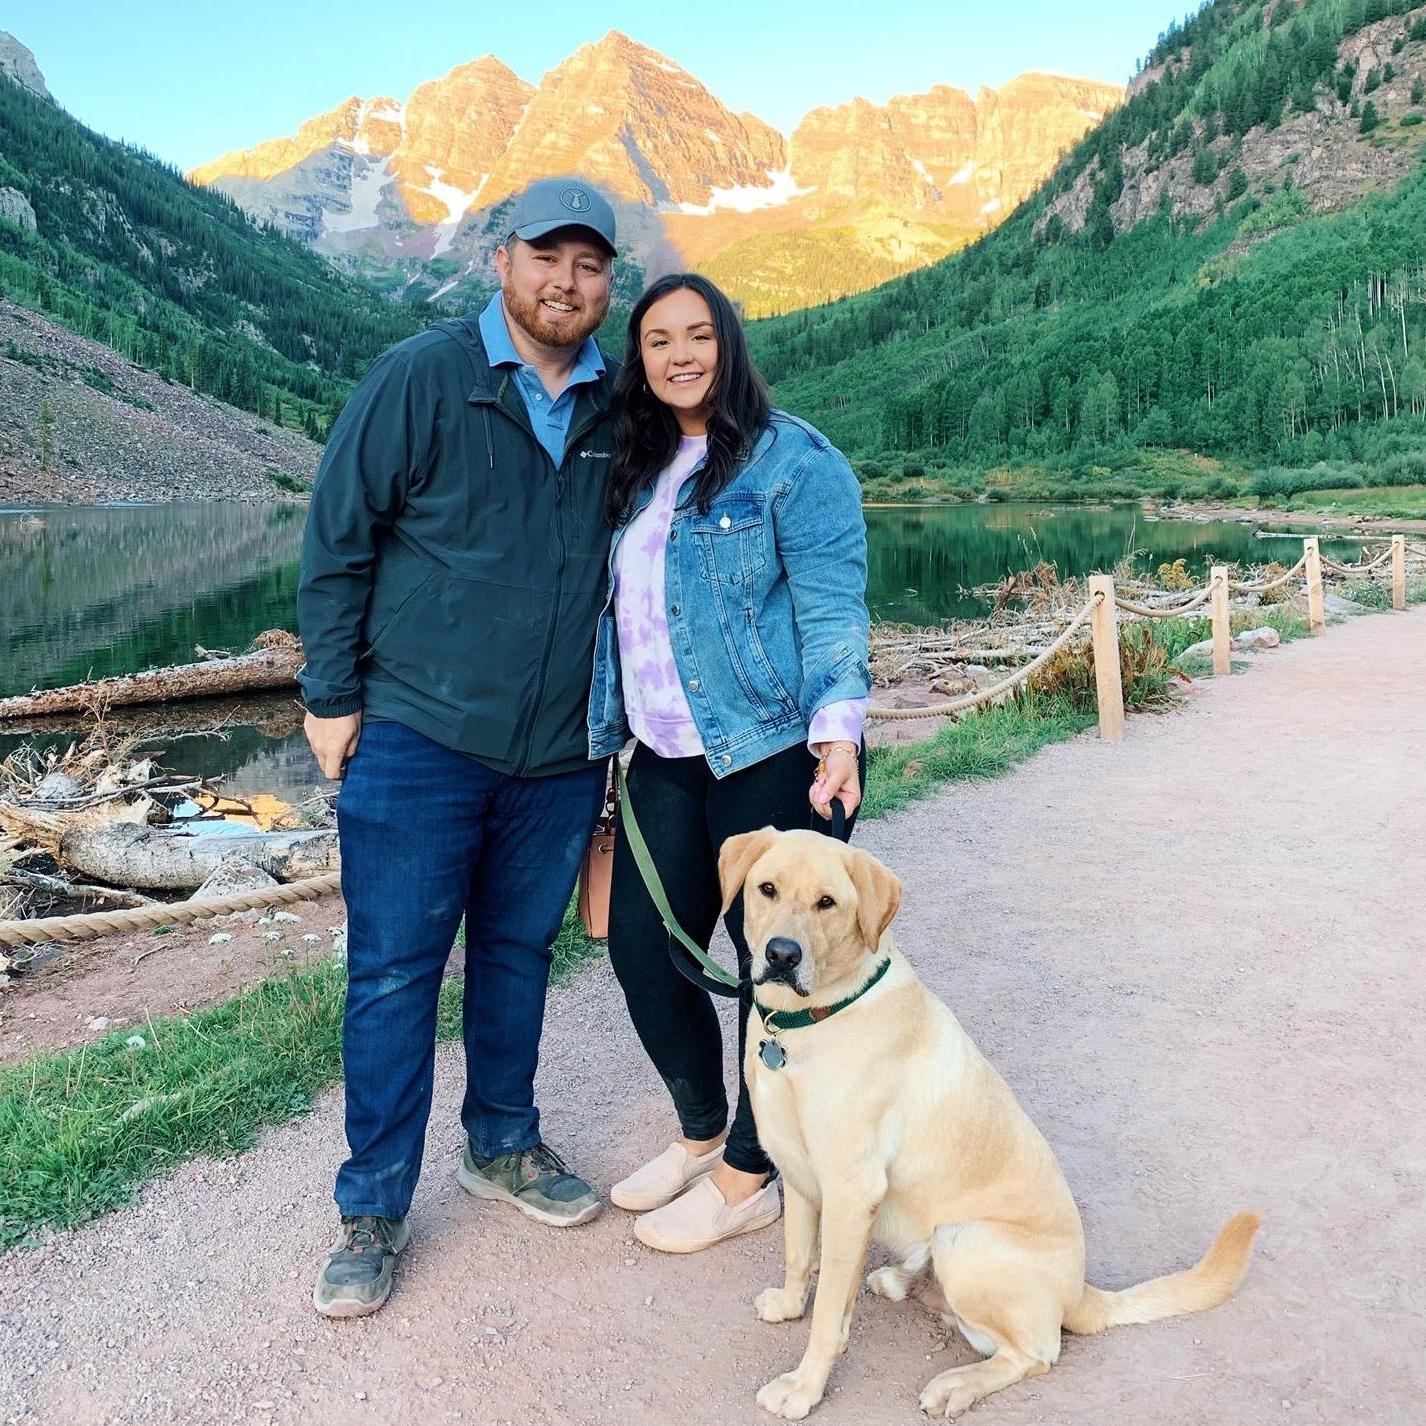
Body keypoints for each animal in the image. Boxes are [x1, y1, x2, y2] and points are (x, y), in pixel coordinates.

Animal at [718, 832, 1266, 1420]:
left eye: (827, 903)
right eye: (767, 889)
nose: (781, 954)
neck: (808, 1022)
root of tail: (1081, 1293)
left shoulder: (850, 1191)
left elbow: (827, 1316)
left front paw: (803, 1388)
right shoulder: (799, 1173)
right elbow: (799, 1257)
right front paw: (788, 1305)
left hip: (965, 1238)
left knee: (1037, 1354)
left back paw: (957, 1384)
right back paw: (904, 1282)